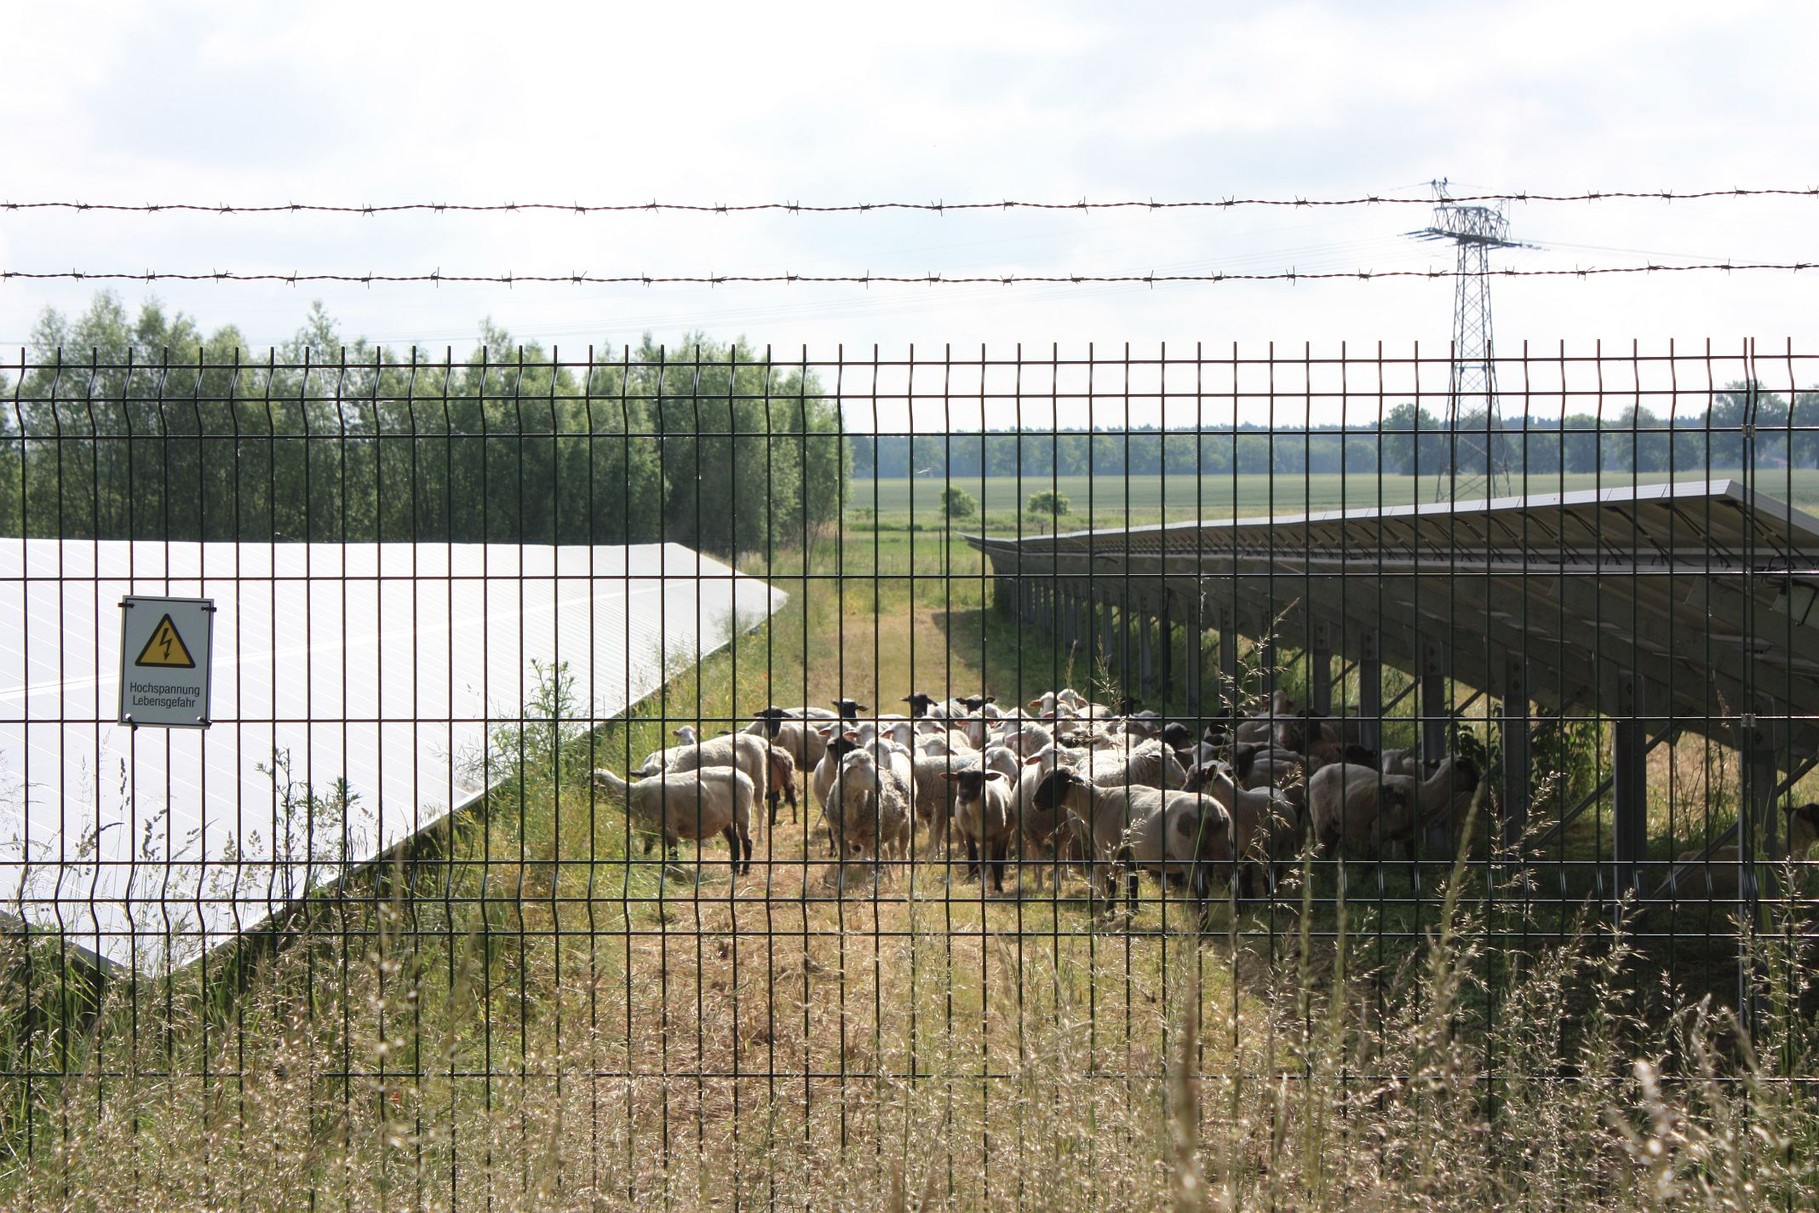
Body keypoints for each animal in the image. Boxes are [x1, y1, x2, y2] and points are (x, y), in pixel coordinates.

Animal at [596, 767, 753, 872]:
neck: (635, 795)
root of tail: (746, 777)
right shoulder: (648, 829)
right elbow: (647, 850)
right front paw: (646, 865)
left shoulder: (670, 826)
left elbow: (673, 853)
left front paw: (675, 871)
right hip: (725, 819)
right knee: (734, 841)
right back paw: (734, 869)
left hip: (742, 813)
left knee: (747, 842)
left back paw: (744, 871)